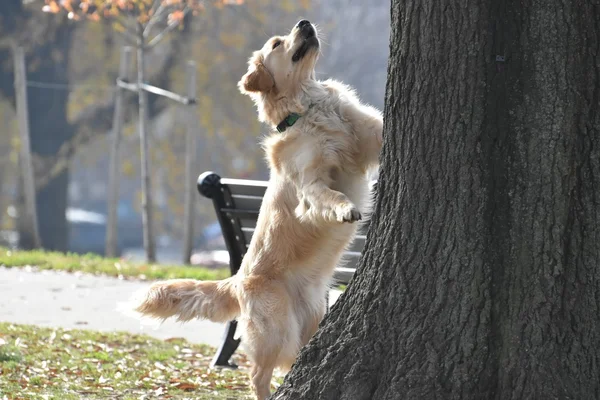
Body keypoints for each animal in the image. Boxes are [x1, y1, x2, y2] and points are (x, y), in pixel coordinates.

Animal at [131, 19, 384, 400]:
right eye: (277, 43)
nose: (304, 22)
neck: (307, 106)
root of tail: (237, 278)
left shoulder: (365, 134)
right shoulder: (309, 185)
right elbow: (327, 194)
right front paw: (345, 209)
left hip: (313, 317)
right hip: (276, 325)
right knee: (258, 372)